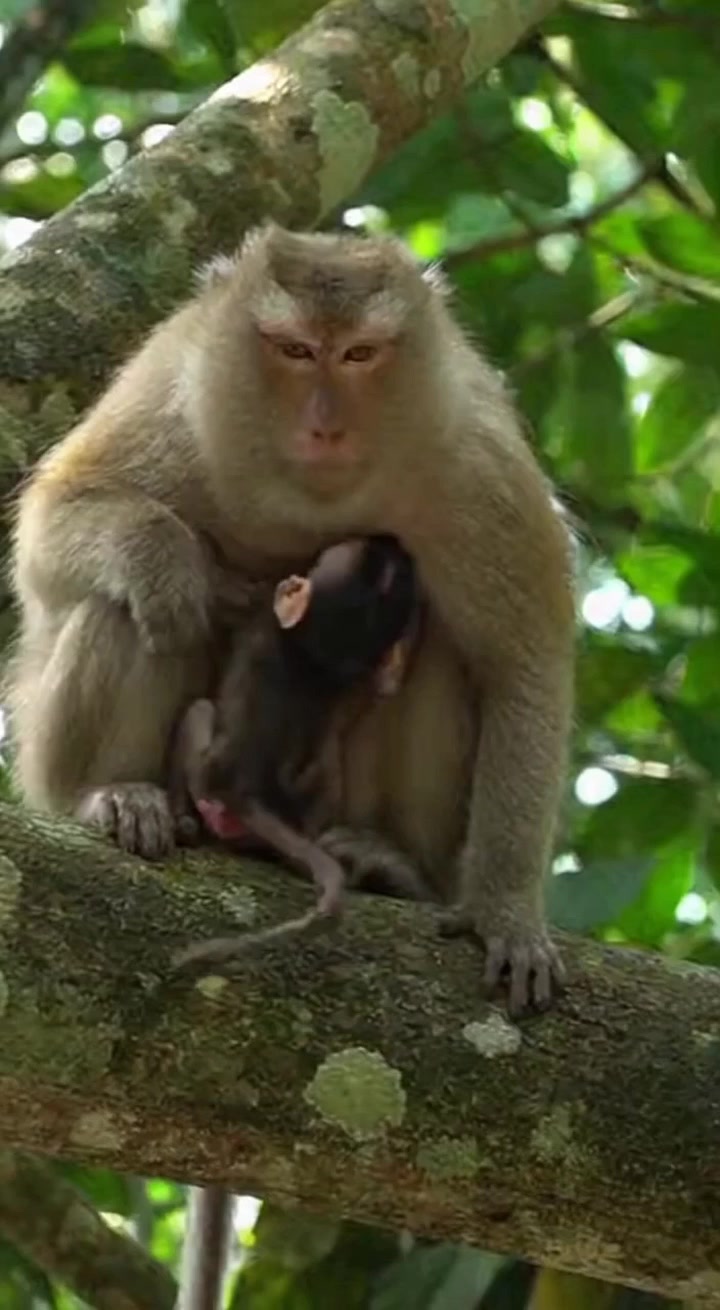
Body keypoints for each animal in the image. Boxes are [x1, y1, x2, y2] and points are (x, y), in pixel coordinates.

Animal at [7, 222, 574, 1016]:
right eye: (297, 350)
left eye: (360, 354)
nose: (326, 426)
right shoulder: (174, 388)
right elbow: (51, 529)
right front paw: (167, 561)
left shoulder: (477, 462)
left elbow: (522, 665)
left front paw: (505, 910)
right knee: (127, 608)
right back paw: (114, 793)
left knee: (436, 650)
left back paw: (391, 863)